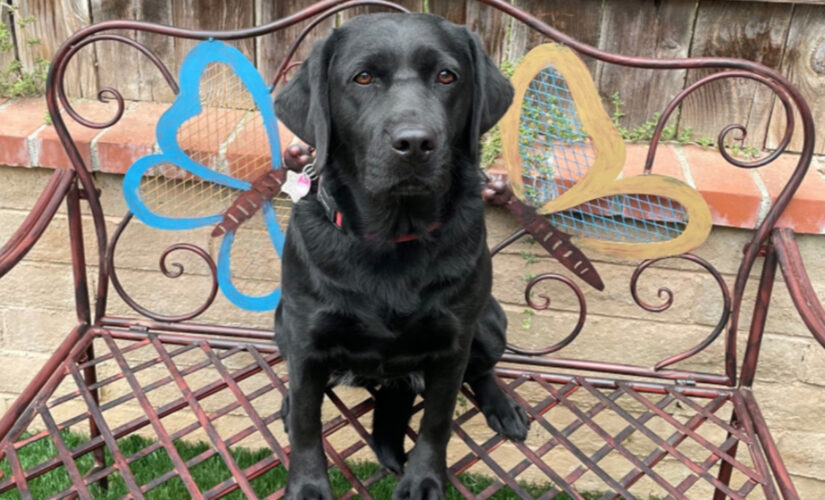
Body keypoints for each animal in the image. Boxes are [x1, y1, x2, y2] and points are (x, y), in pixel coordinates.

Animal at [270, 12, 528, 500]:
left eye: (447, 76)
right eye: (363, 77)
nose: (414, 143)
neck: (392, 240)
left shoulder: (452, 345)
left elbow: (437, 421)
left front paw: (424, 480)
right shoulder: (306, 336)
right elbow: (308, 424)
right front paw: (309, 486)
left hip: (489, 323)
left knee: (481, 371)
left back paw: (503, 407)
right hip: (281, 322)